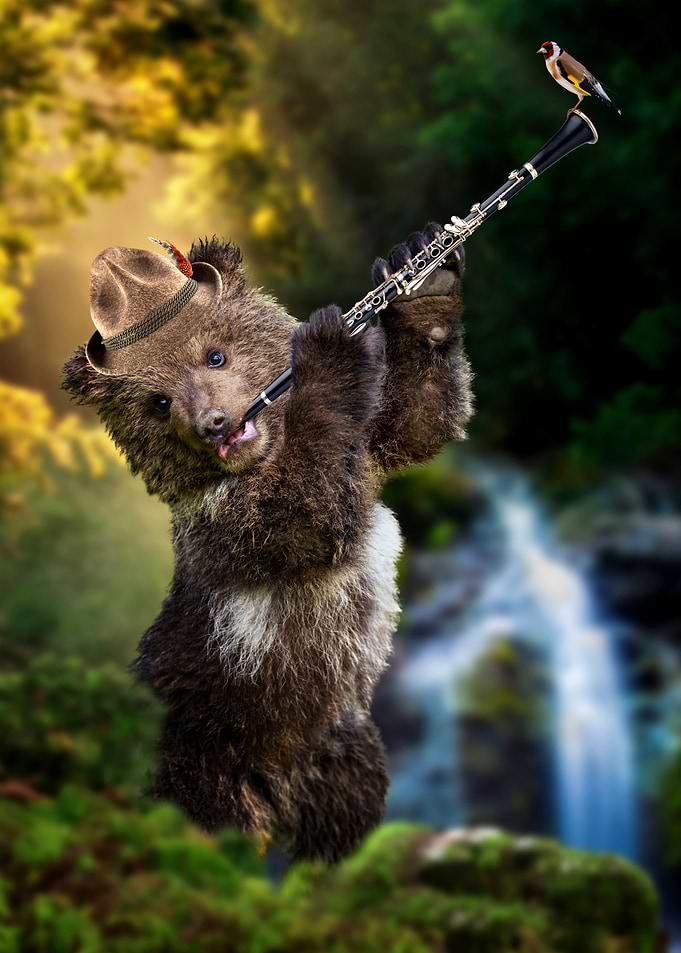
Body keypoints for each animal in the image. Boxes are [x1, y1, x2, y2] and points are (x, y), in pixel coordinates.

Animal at [62, 224, 473, 862]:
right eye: (158, 402)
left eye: (215, 354)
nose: (212, 422)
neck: (262, 453)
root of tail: (274, 797)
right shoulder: (225, 527)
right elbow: (302, 515)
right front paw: (326, 343)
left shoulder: (367, 454)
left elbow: (417, 420)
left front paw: (424, 271)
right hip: (200, 757)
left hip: (340, 750)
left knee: (347, 817)